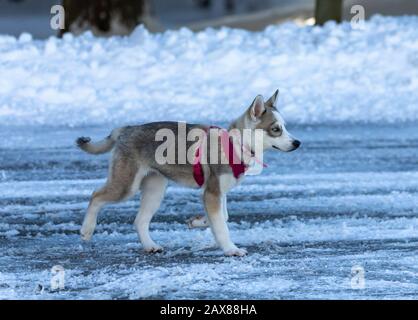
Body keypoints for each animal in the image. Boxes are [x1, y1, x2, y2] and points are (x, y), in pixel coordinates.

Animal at [76, 89, 300, 255]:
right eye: (276, 129)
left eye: (285, 127)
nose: (297, 143)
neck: (236, 143)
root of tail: (126, 129)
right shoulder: (212, 193)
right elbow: (222, 225)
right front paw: (231, 249)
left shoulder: (217, 192)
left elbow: (223, 217)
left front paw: (198, 221)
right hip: (126, 185)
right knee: (96, 196)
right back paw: (87, 230)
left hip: (154, 190)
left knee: (139, 221)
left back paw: (150, 246)